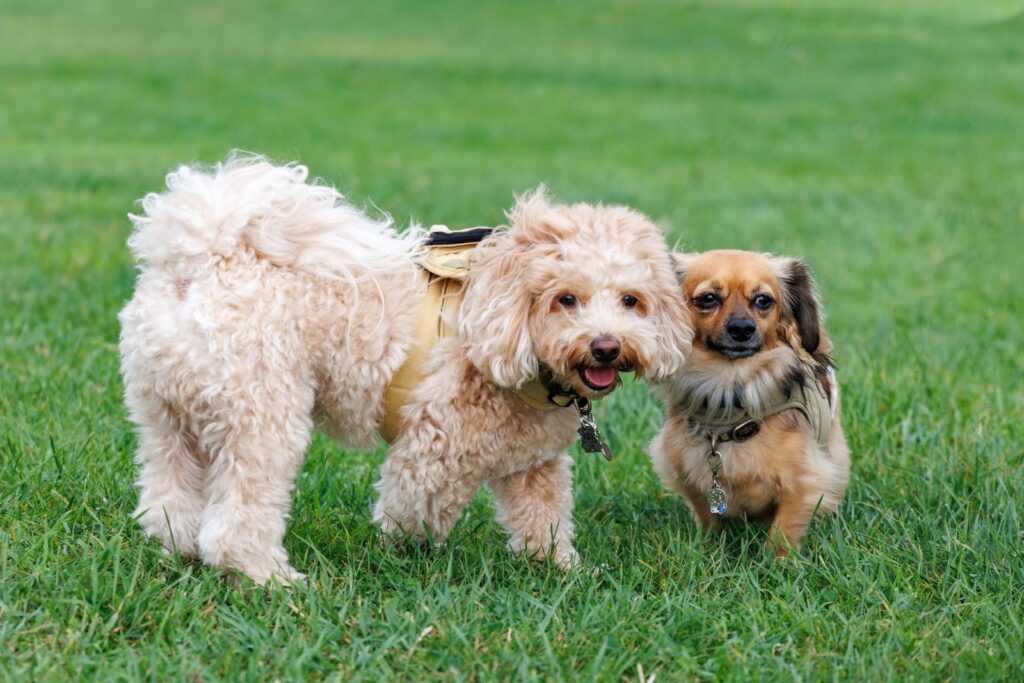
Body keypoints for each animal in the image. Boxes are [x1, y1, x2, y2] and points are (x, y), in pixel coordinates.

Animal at [121, 157, 696, 585]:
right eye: (565, 299)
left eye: (631, 301)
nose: (606, 347)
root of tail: (203, 260)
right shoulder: (434, 447)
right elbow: (414, 509)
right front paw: (406, 556)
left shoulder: (533, 463)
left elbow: (544, 519)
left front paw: (564, 571)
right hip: (262, 417)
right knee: (237, 520)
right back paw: (270, 578)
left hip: (166, 417)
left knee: (168, 500)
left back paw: (183, 552)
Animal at [651, 248, 851, 552]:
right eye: (708, 298)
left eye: (763, 300)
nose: (742, 328)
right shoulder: (688, 476)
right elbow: (707, 518)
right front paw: (709, 550)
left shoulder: (805, 480)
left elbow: (783, 531)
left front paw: (777, 561)